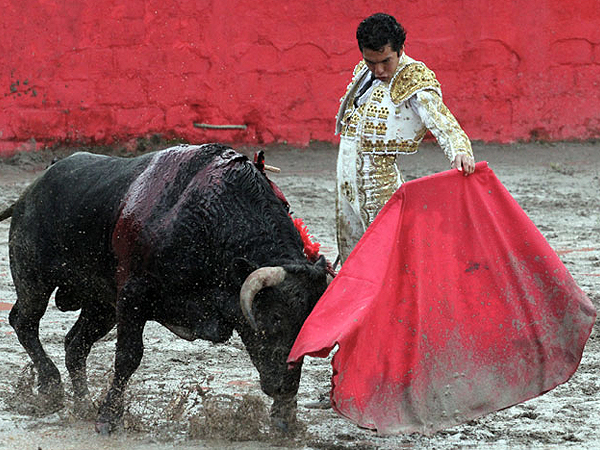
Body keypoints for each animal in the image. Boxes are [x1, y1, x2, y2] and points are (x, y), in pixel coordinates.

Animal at [1, 143, 328, 432]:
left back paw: (82, 403)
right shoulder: (133, 296)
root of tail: (30, 191)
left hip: (101, 303)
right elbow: (128, 356)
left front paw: (285, 420)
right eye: (275, 318)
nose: (285, 388)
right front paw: (109, 417)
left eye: (309, 323)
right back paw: (51, 386)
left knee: (75, 343)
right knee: (24, 322)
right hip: (34, 280)